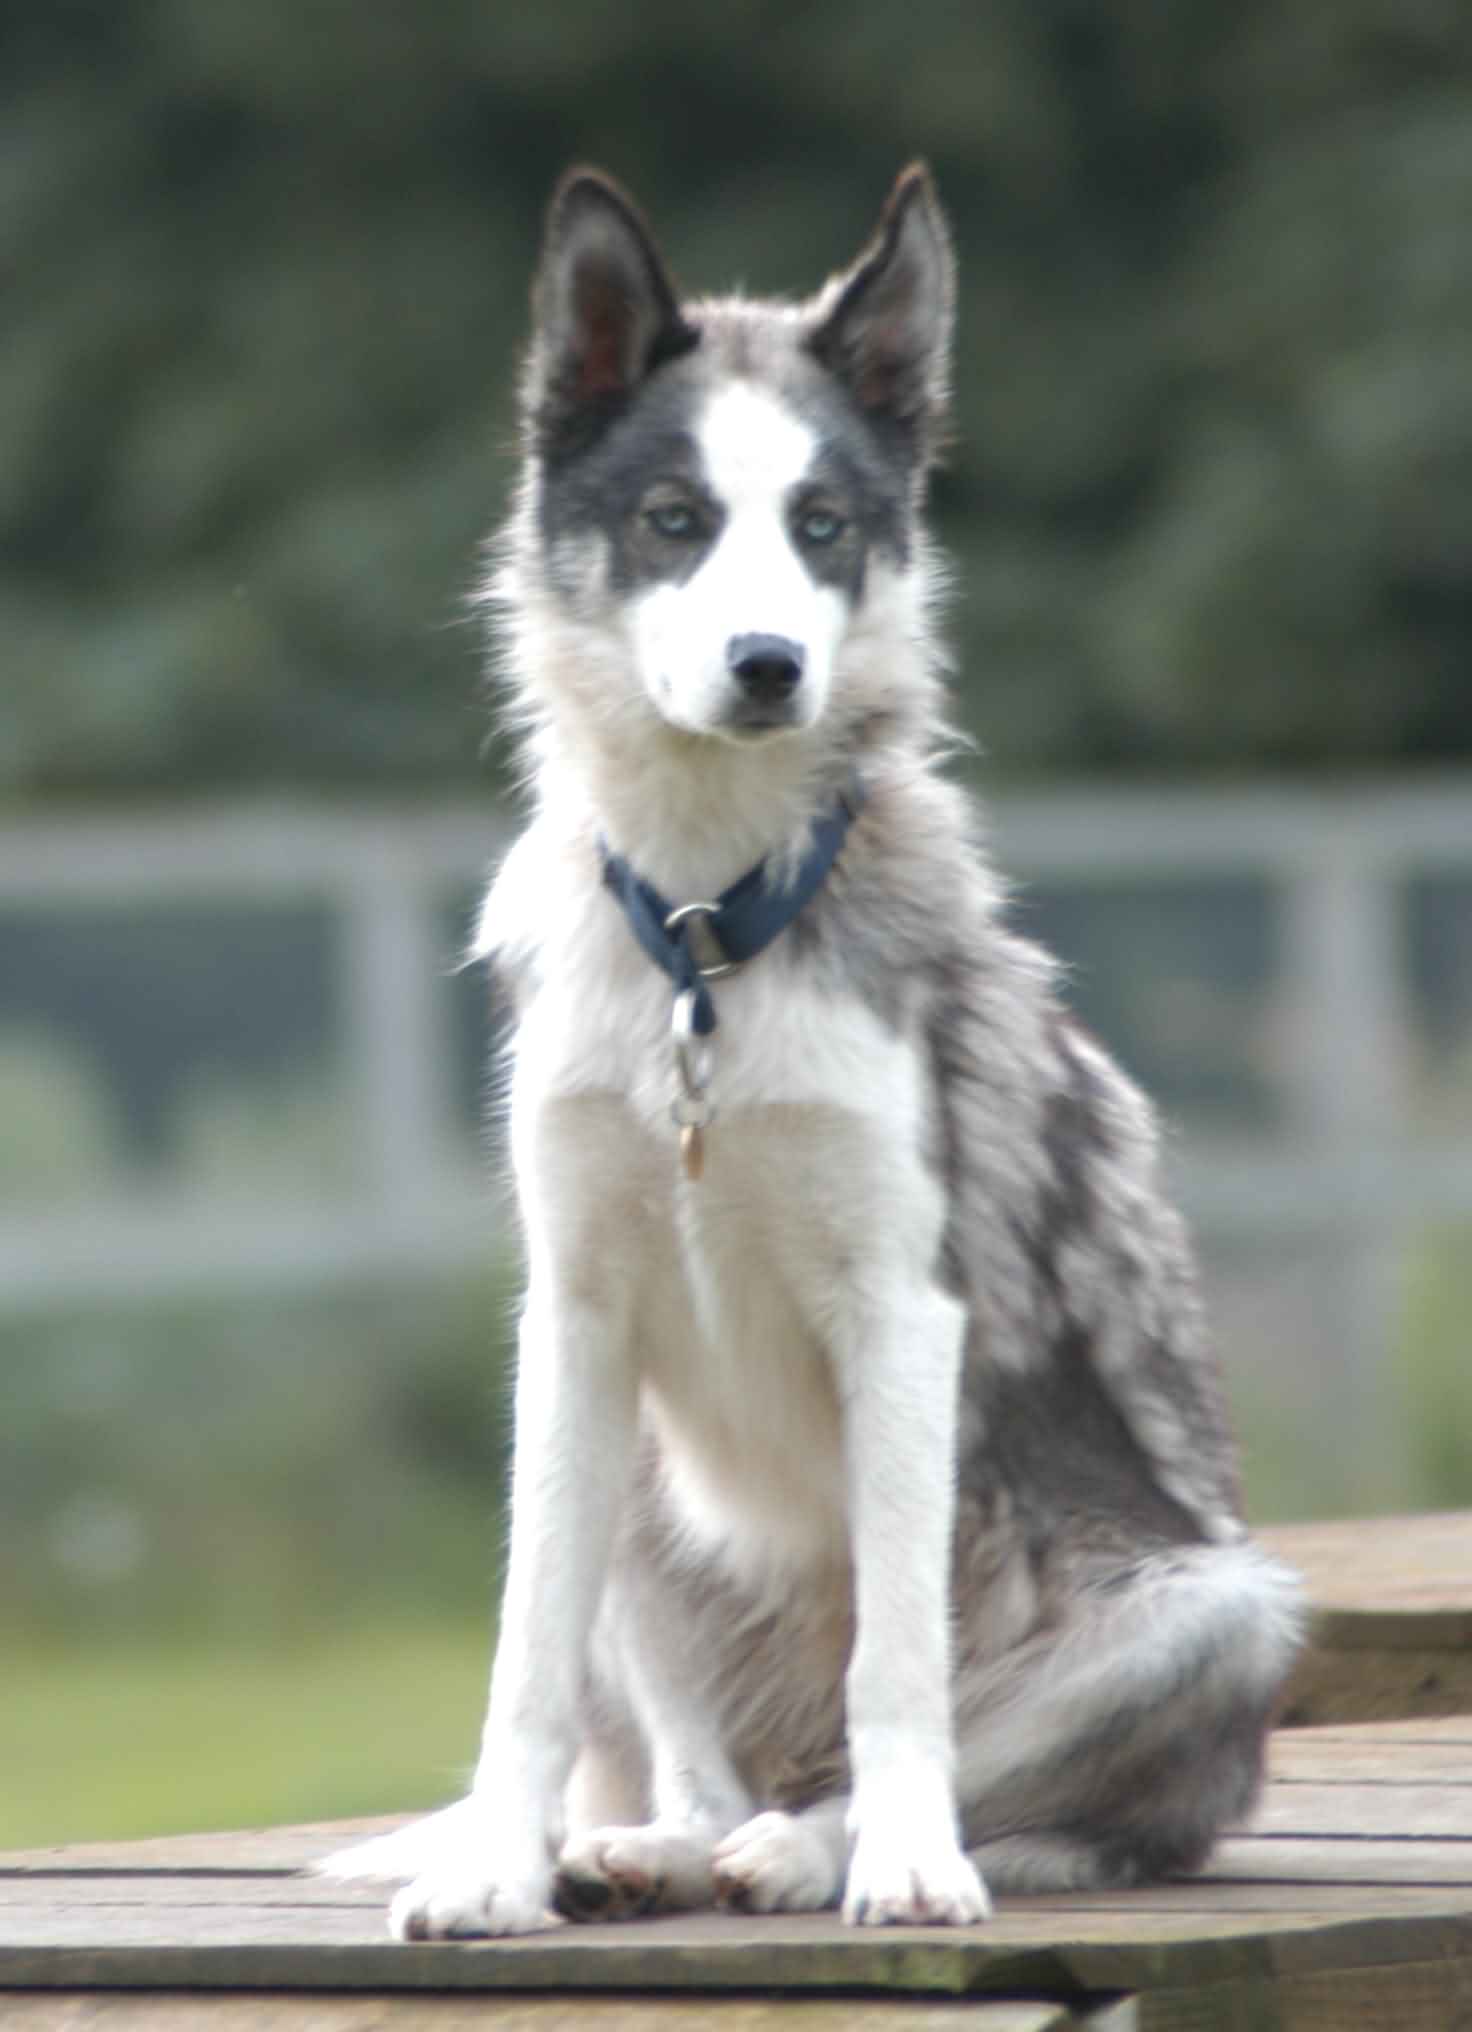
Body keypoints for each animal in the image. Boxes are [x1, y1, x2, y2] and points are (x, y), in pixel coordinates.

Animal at [321, 158, 1301, 1934]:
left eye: (824, 527)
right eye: (675, 521)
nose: (767, 666)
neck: (710, 941)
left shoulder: (905, 1316)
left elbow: (901, 1672)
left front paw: (905, 1865)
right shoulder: (573, 1320)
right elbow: (523, 1662)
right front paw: (498, 1866)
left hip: (1215, 1611)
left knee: (958, 1770)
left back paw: (814, 1847)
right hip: (641, 1470)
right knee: (696, 1765)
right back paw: (654, 1847)